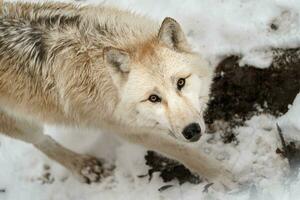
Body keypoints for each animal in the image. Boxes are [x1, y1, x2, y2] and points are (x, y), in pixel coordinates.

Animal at [0, 1, 236, 189]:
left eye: (181, 82)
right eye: (153, 98)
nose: (192, 130)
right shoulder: (127, 129)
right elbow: (181, 150)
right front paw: (221, 176)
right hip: (20, 125)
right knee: (41, 140)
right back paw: (83, 167)